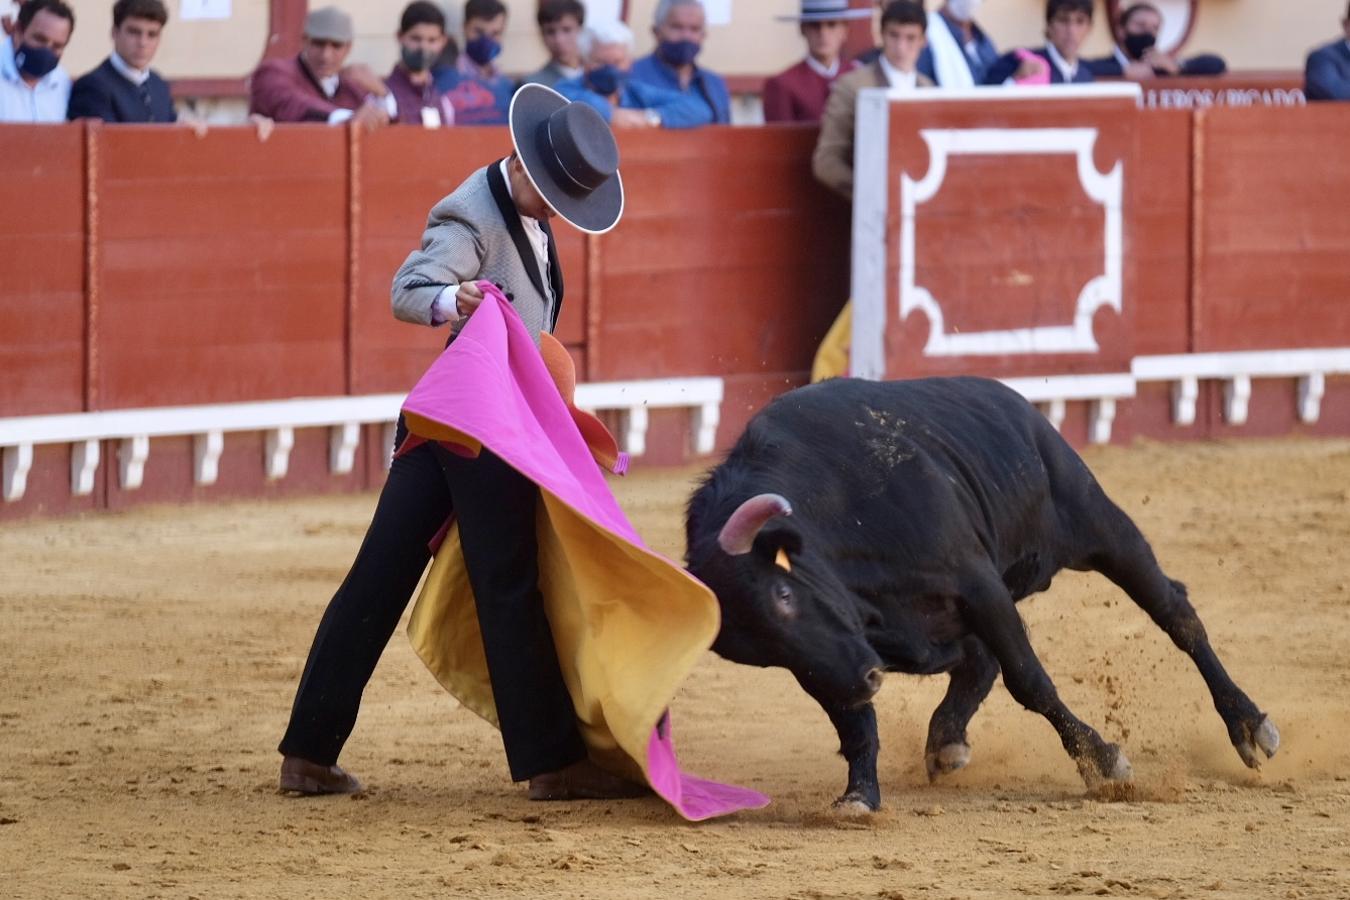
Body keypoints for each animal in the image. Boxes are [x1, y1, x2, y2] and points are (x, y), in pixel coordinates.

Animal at [685, 377, 1274, 814]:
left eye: (784, 594)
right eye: (761, 653)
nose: (868, 680)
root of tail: (1016, 403)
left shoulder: (977, 585)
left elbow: (1029, 681)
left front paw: (1103, 763)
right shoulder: (834, 660)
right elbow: (853, 720)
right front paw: (859, 795)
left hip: (1097, 523)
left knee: (1174, 611)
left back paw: (1249, 725)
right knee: (977, 662)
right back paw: (946, 739)